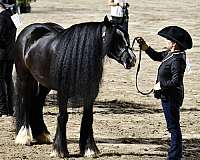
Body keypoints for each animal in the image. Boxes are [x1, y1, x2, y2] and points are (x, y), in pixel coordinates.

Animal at [14, 16, 136, 158]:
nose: (131, 60)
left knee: (37, 103)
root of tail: (29, 30)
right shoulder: (63, 92)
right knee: (25, 102)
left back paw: (42, 135)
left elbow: (88, 118)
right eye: (114, 39)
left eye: (126, 37)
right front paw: (59, 151)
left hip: (44, 84)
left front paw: (89, 149)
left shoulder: (90, 94)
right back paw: (23, 137)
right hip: (24, 78)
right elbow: (62, 117)